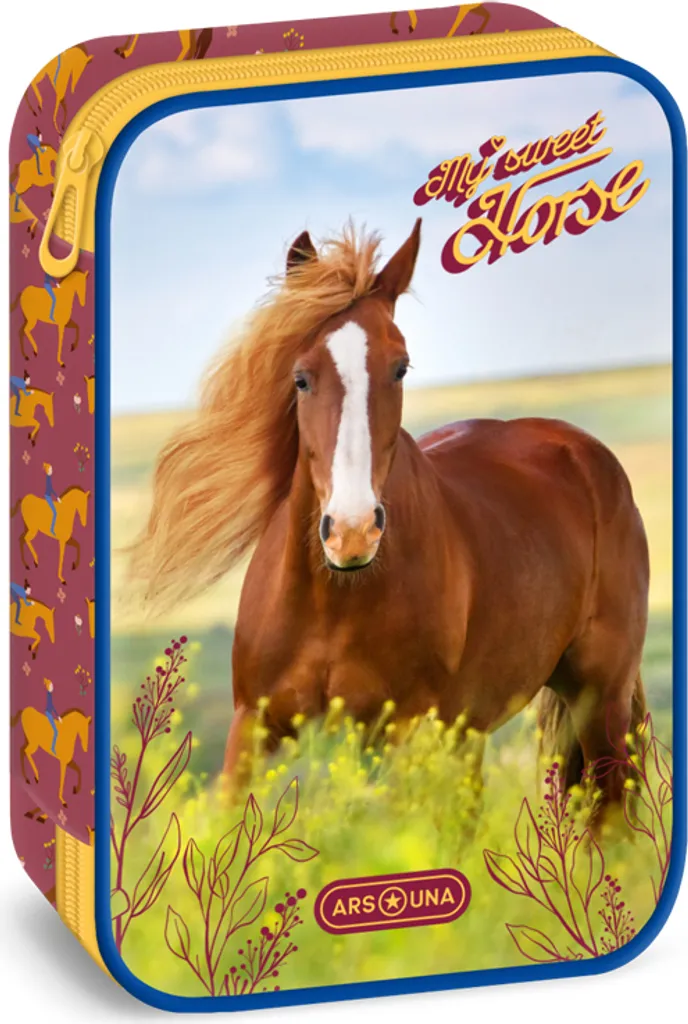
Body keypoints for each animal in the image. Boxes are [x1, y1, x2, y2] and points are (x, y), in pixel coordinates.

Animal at [129, 221, 650, 822]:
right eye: (301, 378)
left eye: (400, 368)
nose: (352, 532)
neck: (333, 601)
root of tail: (582, 450)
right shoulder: (253, 726)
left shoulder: (405, 733)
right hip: (470, 733)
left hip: (600, 704)